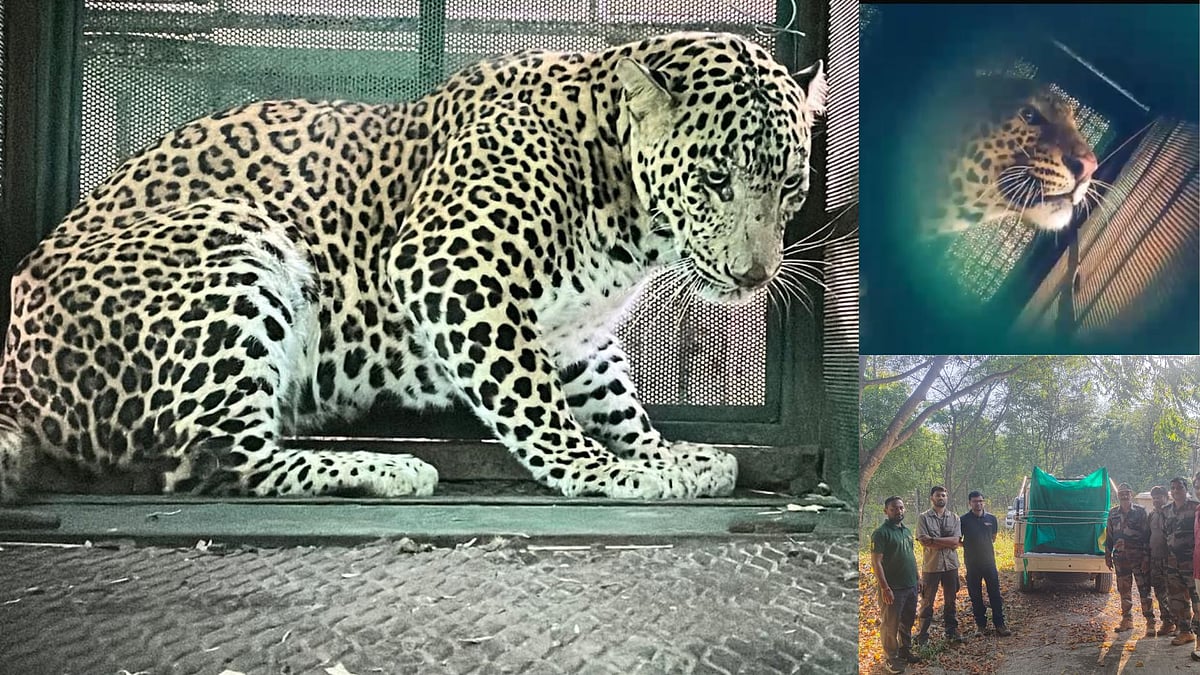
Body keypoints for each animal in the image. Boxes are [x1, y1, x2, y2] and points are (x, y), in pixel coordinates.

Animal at [0, 32, 827, 501]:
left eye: (789, 184)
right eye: (715, 179)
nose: (755, 277)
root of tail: (13, 379)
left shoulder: (577, 332)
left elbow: (613, 397)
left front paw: (664, 451)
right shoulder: (451, 267)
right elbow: (536, 407)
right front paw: (615, 473)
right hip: (234, 239)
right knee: (213, 460)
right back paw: (388, 468)